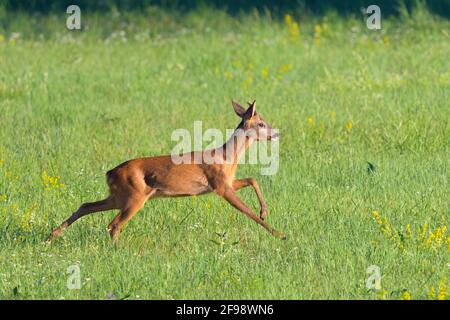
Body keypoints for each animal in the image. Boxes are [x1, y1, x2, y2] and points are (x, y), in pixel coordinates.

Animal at [47, 100, 286, 242]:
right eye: (261, 123)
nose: (277, 134)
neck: (227, 158)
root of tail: (110, 173)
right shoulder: (220, 186)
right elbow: (248, 212)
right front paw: (279, 233)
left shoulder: (225, 182)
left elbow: (252, 179)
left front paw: (265, 212)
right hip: (134, 196)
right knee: (113, 224)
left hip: (119, 196)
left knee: (86, 206)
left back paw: (52, 236)